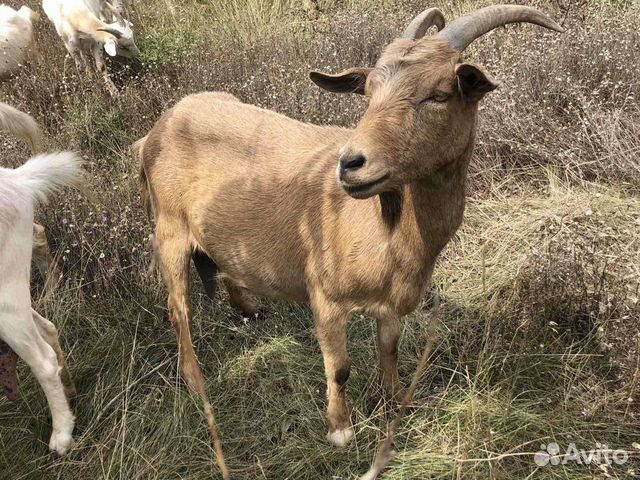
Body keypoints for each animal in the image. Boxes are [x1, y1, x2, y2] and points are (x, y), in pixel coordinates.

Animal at [0, 151, 84, 454]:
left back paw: (62, 434)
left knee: (44, 360)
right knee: (47, 329)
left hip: (6, 301)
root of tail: (20, 181)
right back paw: (70, 394)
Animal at [138, 3, 564, 466]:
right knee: (178, 308)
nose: (351, 164)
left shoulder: (392, 304)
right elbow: (339, 368)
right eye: (368, 93)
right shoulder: (325, 297)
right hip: (169, 229)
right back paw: (195, 381)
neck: (384, 229)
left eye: (438, 94)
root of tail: (157, 129)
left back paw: (250, 308)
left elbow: (390, 347)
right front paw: (341, 430)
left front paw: (397, 401)